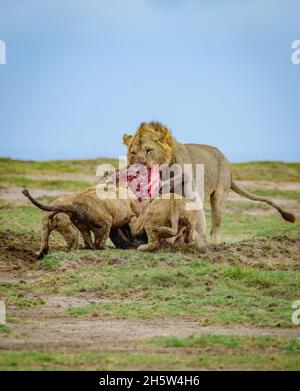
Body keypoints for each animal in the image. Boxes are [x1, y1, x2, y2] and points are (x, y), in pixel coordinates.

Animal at [123, 122, 296, 245]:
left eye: (148, 150)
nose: (138, 166)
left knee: (216, 225)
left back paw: (214, 244)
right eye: (133, 152)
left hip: (219, 196)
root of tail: (226, 160)